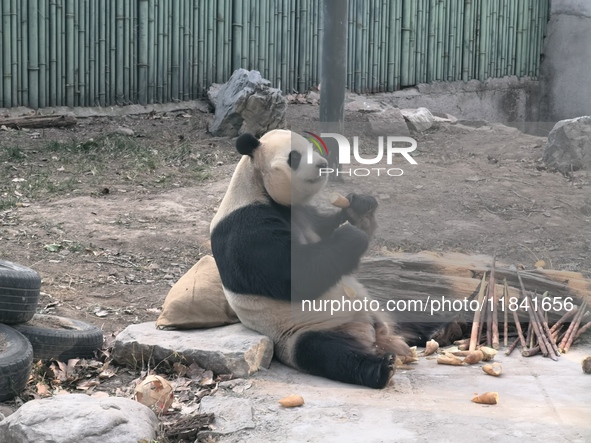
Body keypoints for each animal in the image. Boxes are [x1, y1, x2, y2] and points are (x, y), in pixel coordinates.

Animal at [212, 128, 462, 388]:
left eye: (313, 148)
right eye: (295, 156)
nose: (323, 165)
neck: (257, 186)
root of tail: (377, 334)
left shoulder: (305, 214)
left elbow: (326, 229)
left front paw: (359, 208)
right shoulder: (246, 228)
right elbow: (297, 273)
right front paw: (351, 234)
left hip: (380, 308)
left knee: (410, 314)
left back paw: (444, 329)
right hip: (299, 331)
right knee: (327, 352)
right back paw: (383, 367)